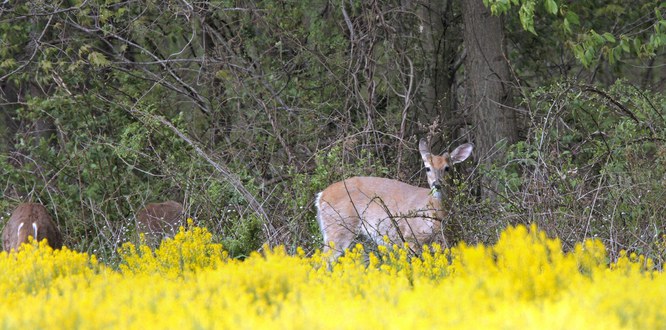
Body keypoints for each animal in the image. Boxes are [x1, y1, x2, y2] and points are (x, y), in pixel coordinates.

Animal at [312, 138, 472, 260]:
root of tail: (321, 196)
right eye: (427, 168)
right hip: (339, 226)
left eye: (447, 168)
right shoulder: (410, 236)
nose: (437, 184)